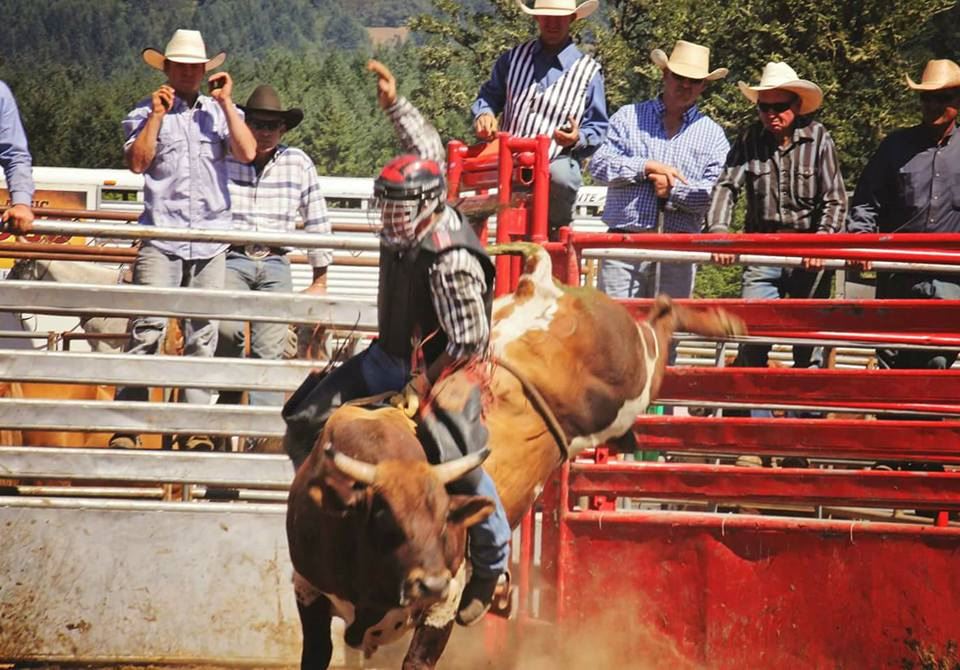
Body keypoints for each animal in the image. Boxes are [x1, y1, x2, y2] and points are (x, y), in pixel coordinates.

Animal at [284, 248, 744, 670]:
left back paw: (722, 321)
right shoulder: (308, 589)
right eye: (384, 517)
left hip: (636, 376)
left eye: (445, 517)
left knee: (662, 321)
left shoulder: (445, 603)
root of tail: (539, 285)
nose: (429, 584)